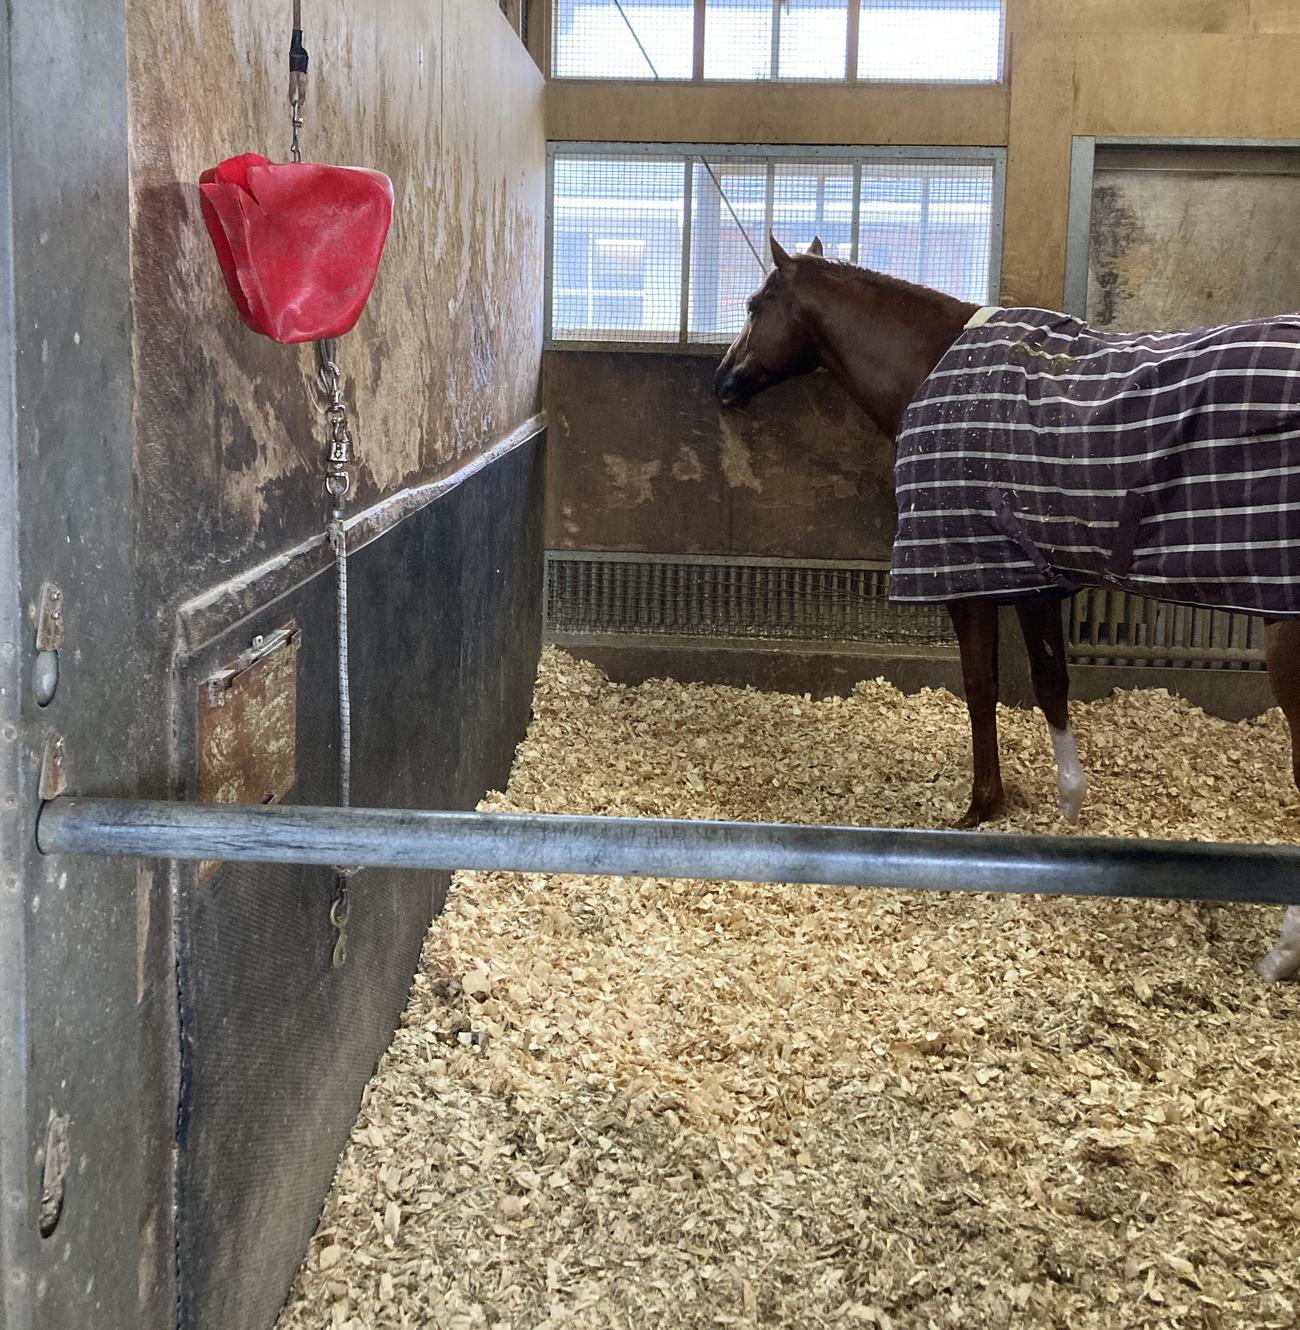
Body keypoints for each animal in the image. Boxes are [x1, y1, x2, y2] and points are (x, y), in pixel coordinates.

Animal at [714, 234, 1300, 983]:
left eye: (756, 305)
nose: (723, 384)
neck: (936, 369)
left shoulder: (970, 578)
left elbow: (981, 684)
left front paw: (980, 806)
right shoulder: (1035, 581)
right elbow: (1050, 683)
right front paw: (1069, 804)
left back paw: (1282, 954)